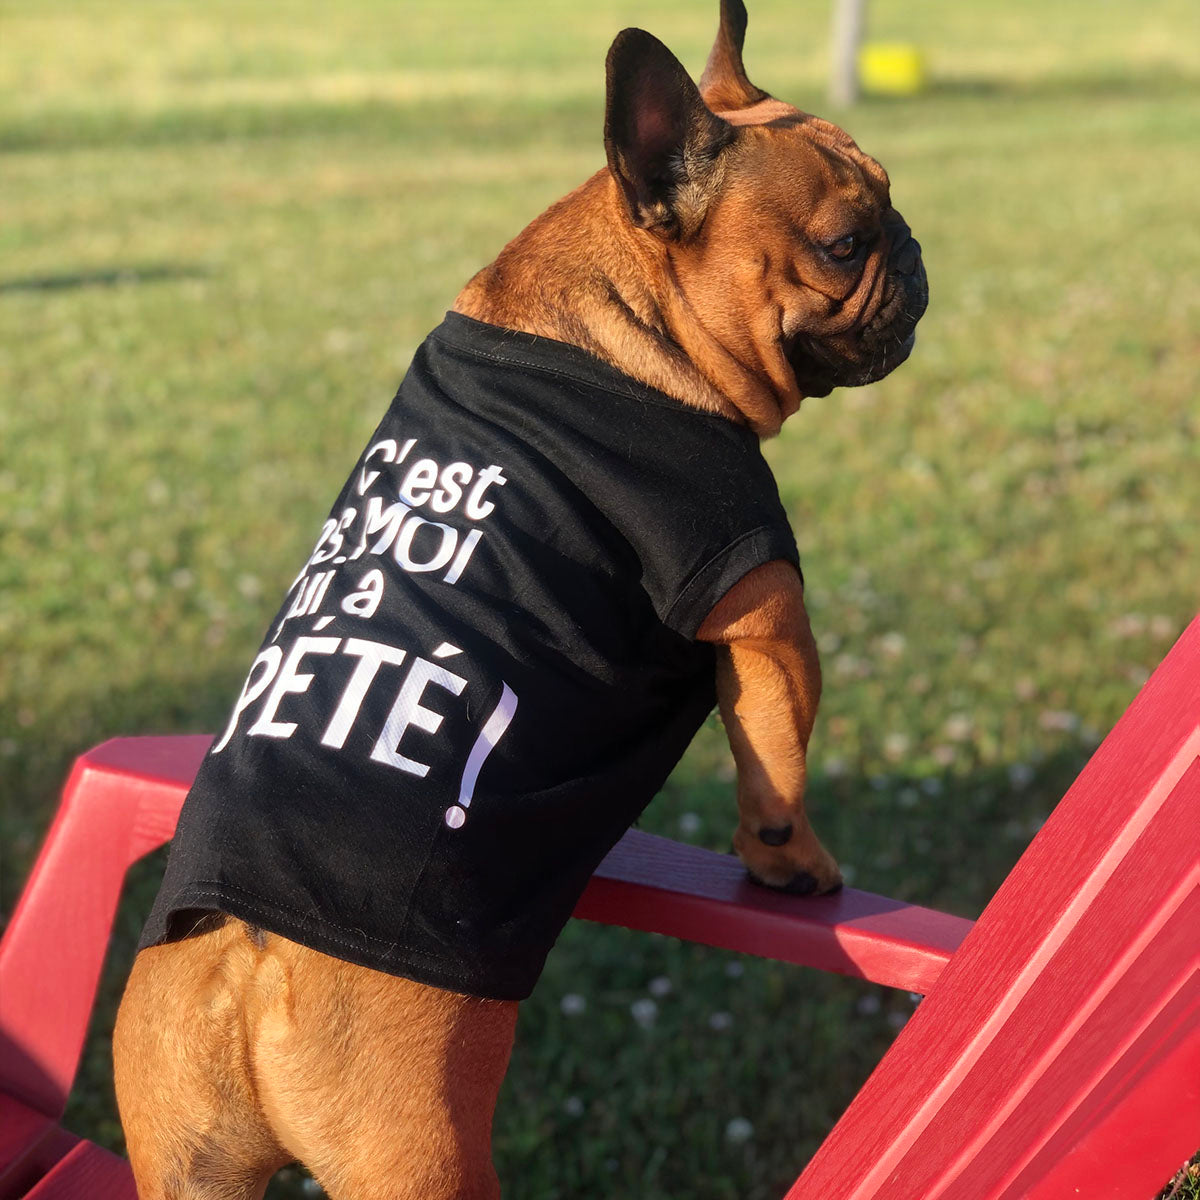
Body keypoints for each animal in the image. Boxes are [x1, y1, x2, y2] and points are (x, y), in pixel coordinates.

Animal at [112, 4, 926, 1195]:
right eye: (844, 244)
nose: (912, 248)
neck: (627, 305)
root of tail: (245, 962)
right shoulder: (760, 608)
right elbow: (775, 758)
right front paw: (794, 865)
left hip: (184, 1149)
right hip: (420, 1154)